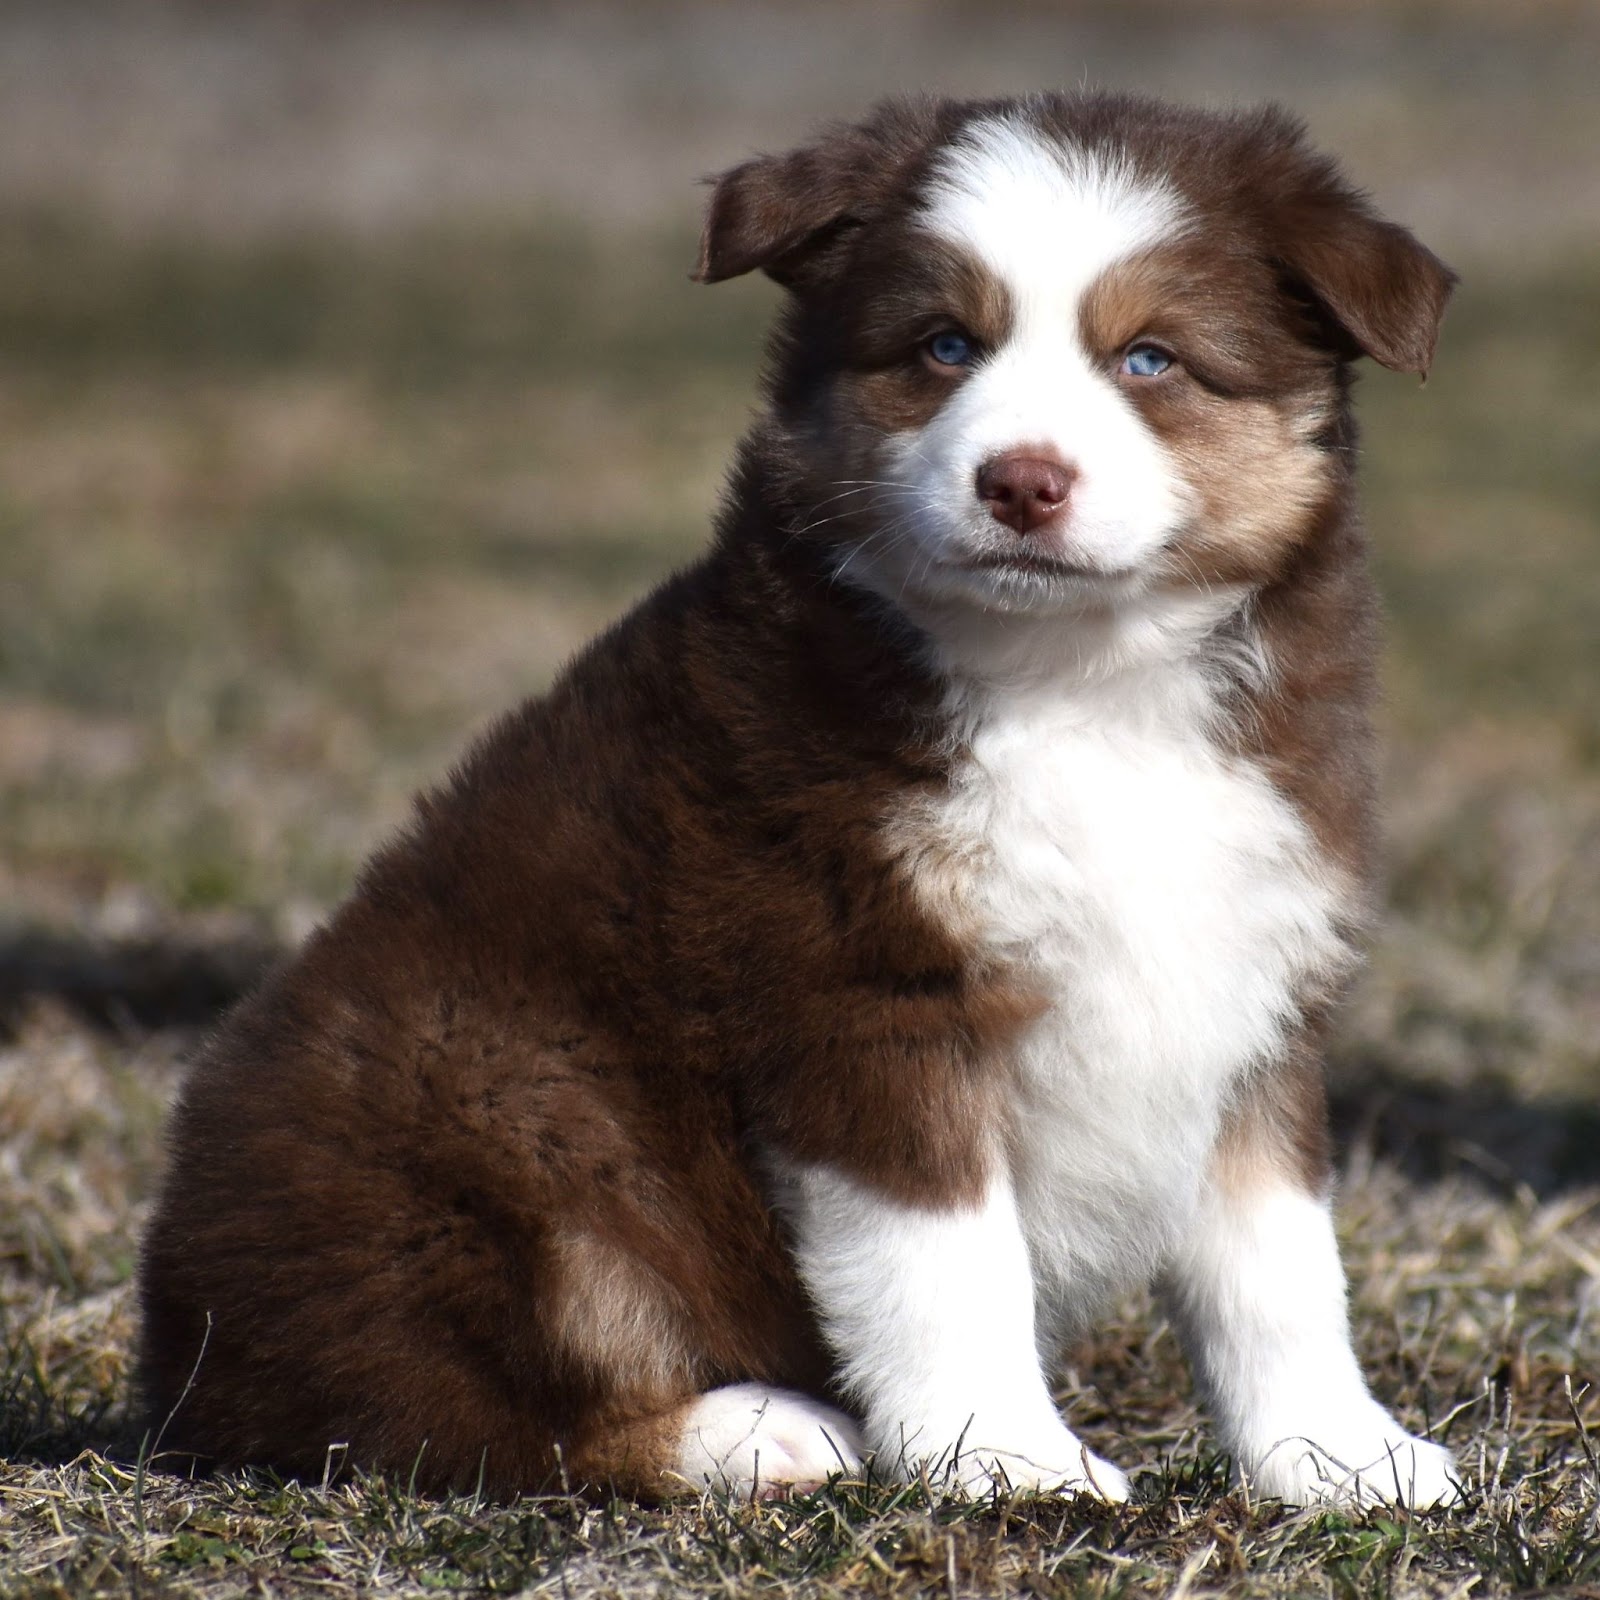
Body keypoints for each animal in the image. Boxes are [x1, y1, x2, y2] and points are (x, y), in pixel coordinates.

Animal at [140, 90, 1465, 1510]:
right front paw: (1009, 1460)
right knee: (456, 1412)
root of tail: (173, 1355)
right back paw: (759, 1431)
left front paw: (1343, 1457)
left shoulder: (1253, 982)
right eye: (943, 344)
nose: (1021, 480)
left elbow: (1280, 1267)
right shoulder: (858, 989)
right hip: (498, 1098)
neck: (1079, 685)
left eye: (1151, 359)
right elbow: (949, 1264)